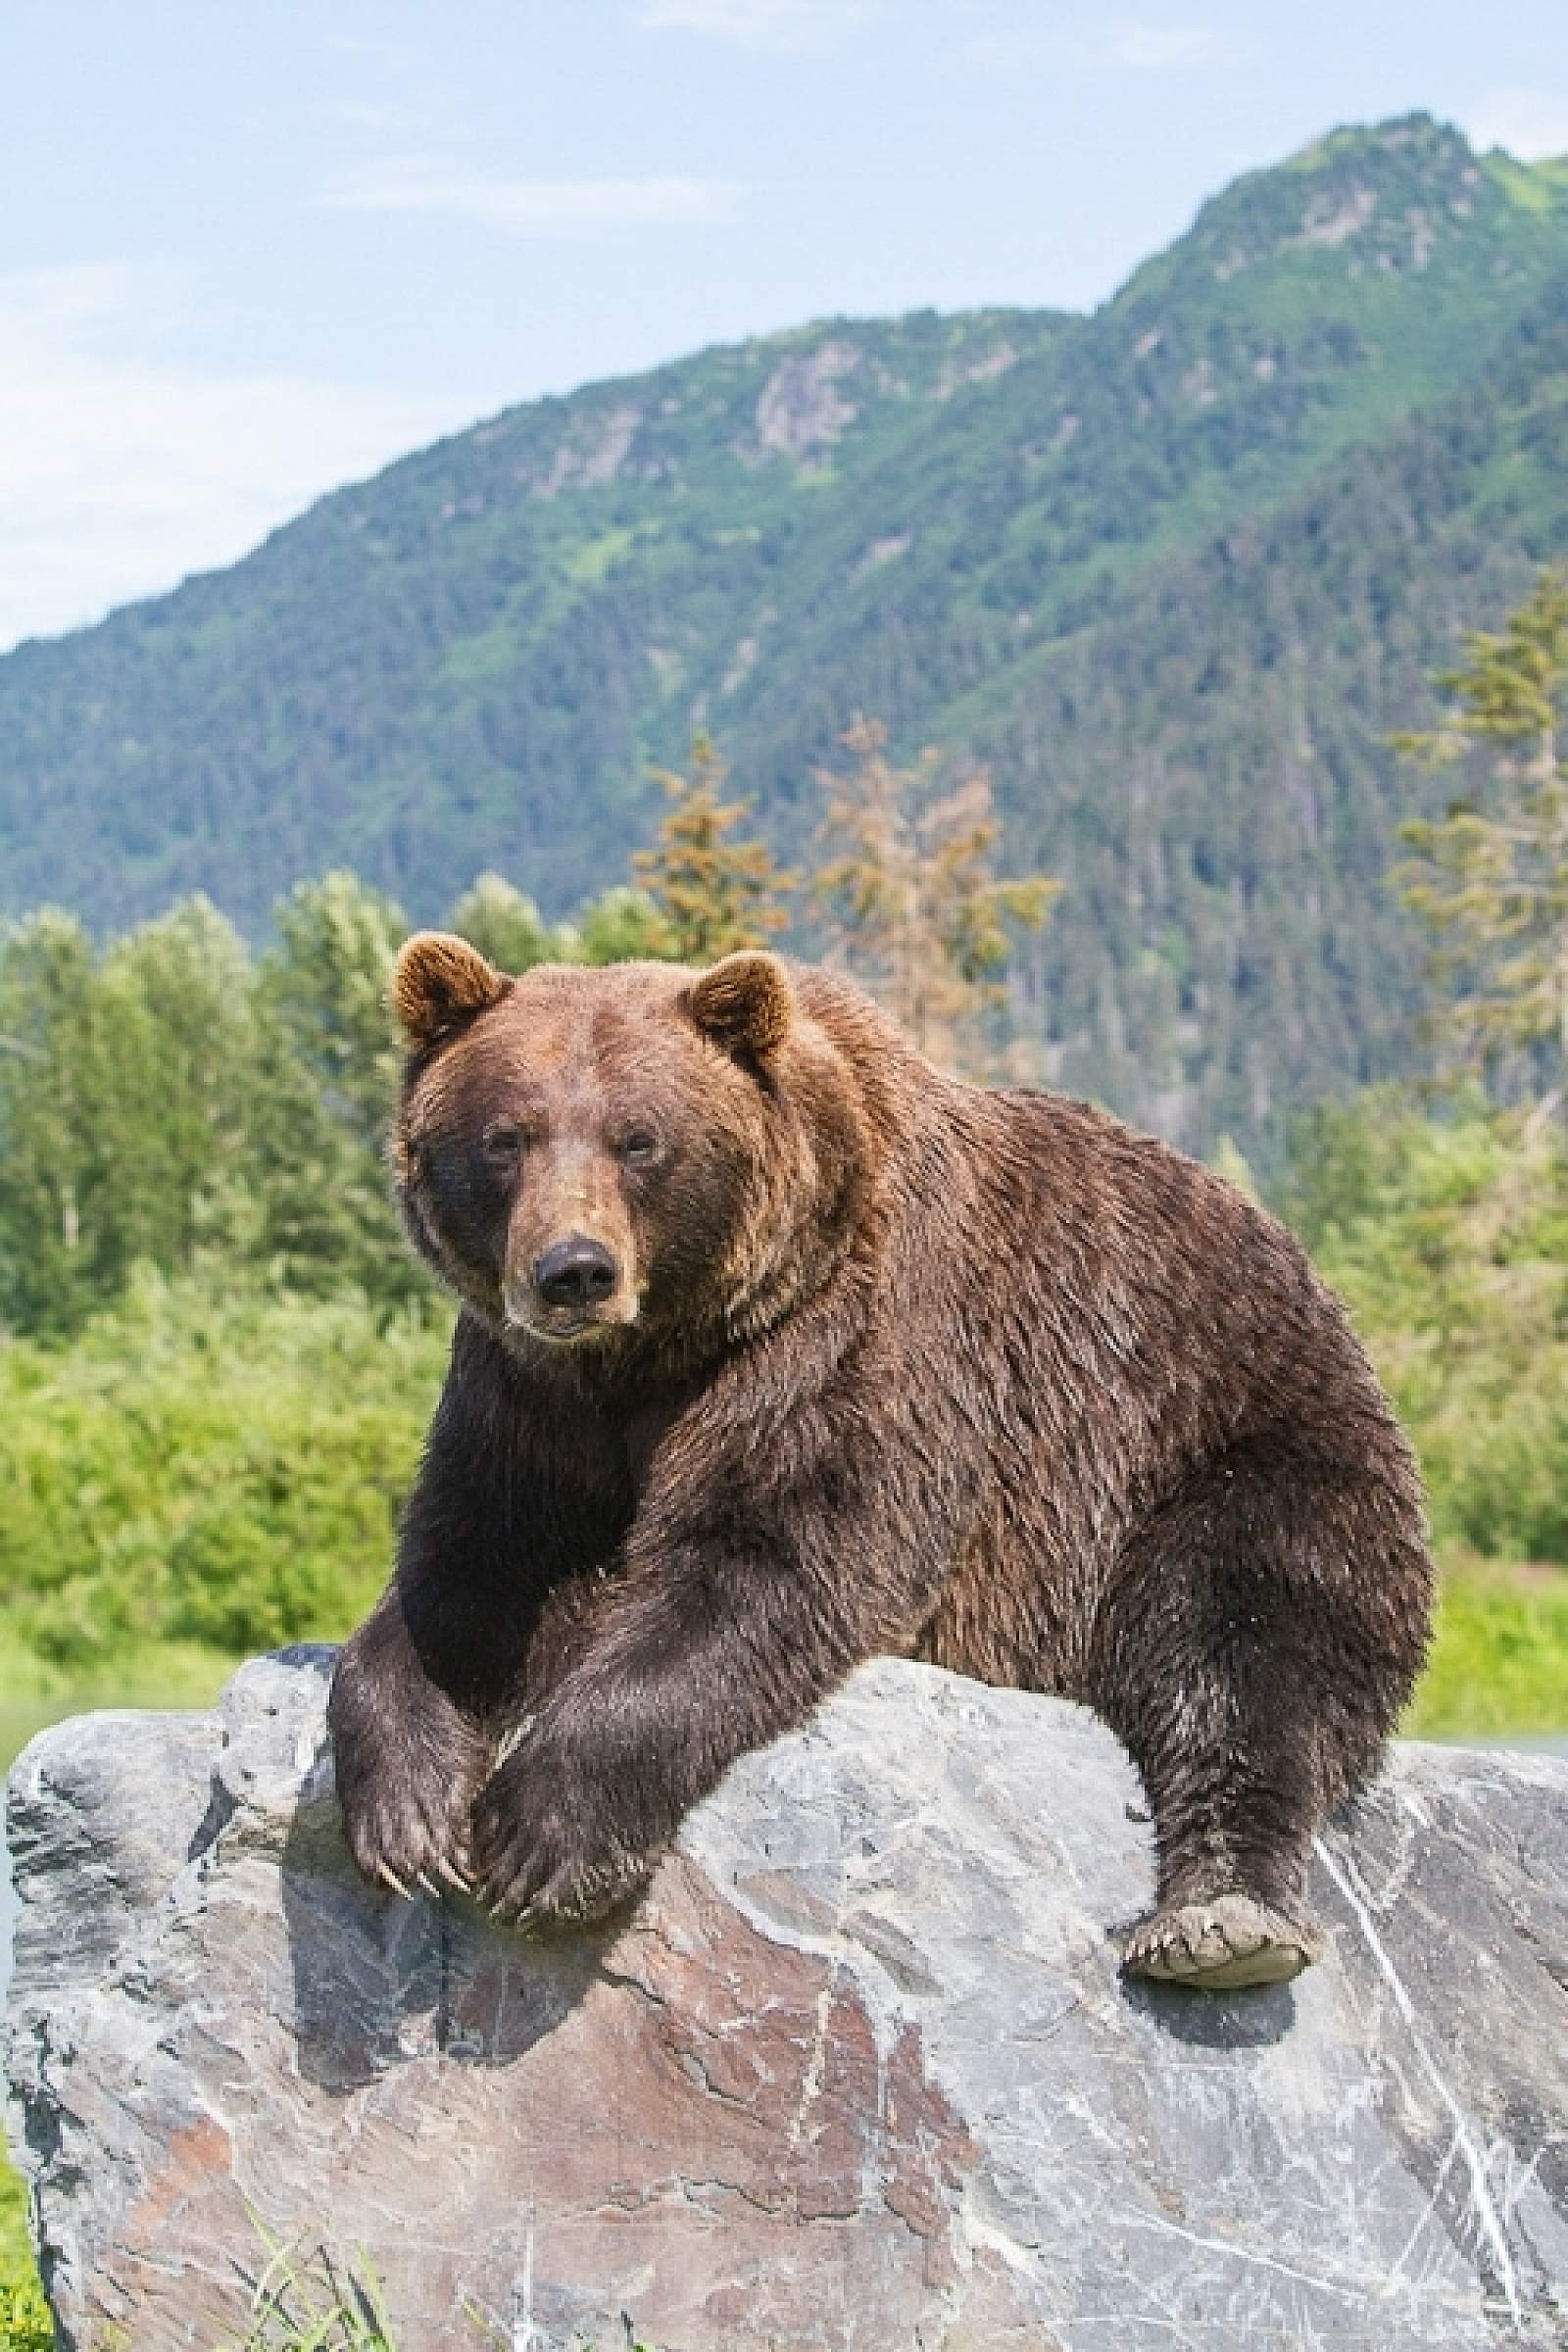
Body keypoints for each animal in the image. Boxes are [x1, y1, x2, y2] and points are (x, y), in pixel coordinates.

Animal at [328, 937, 1433, 1990]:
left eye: (639, 1139)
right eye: (506, 1137)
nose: (574, 1272)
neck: (652, 1356)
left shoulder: (851, 1334)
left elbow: (774, 1560)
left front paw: (545, 1839)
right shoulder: (527, 1398)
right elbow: (468, 1572)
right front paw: (408, 1813)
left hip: (1234, 1438)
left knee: (1243, 1637)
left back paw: (1219, 1920)